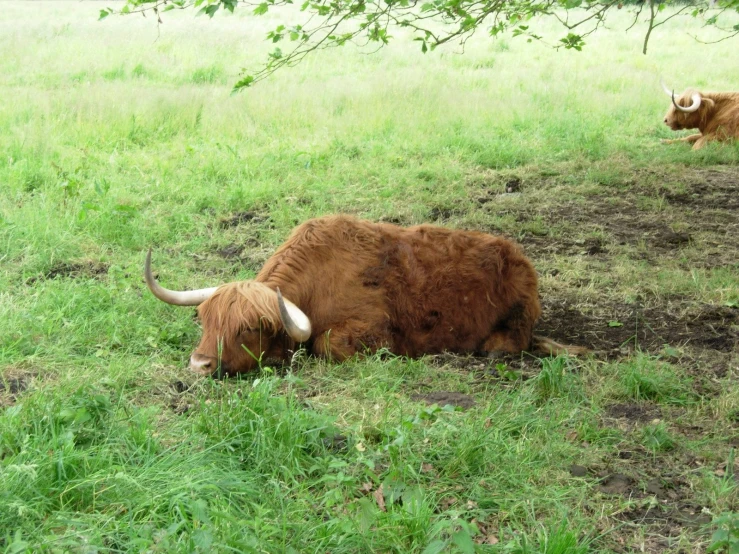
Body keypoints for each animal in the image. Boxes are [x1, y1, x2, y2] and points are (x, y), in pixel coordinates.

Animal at [145, 213, 588, 374]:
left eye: (248, 328)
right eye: (204, 320)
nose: (199, 364)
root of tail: (517, 256)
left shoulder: (371, 328)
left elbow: (326, 344)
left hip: (518, 313)